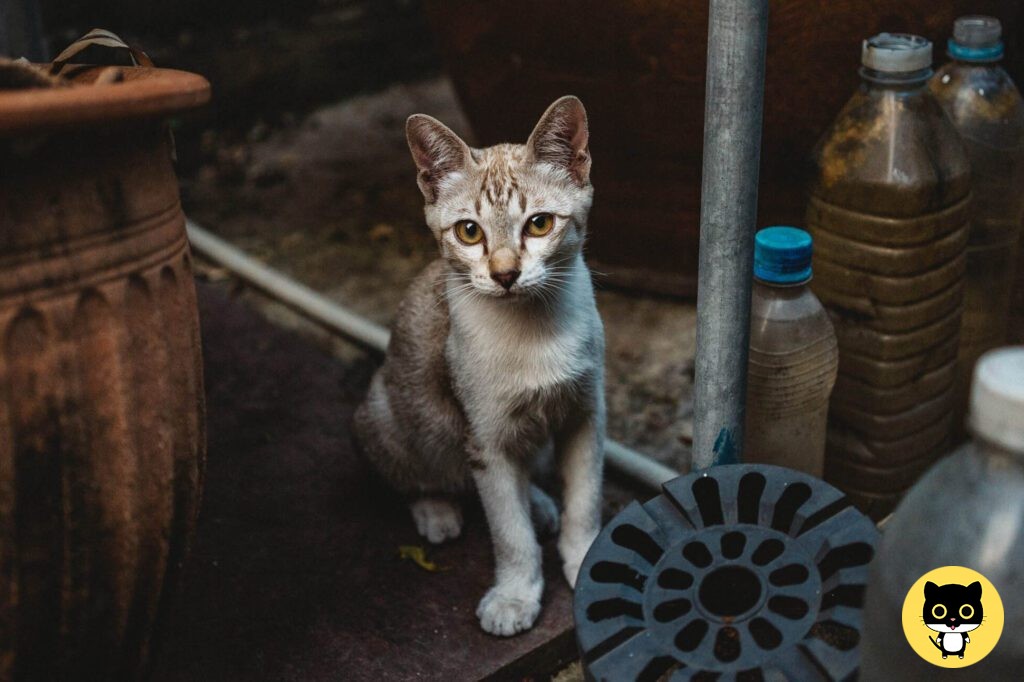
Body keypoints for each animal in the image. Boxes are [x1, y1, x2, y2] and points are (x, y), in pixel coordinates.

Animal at [354, 93, 606, 634]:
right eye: (469, 232)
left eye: (539, 224)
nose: (505, 273)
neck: (534, 332)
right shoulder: (485, 439)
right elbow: (508, 530)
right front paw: (516, 594)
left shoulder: (586, 415)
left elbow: (586, 501)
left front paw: (584, 558)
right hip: (385, 413)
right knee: (417, 474)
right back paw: (437, 510)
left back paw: (539, 504)